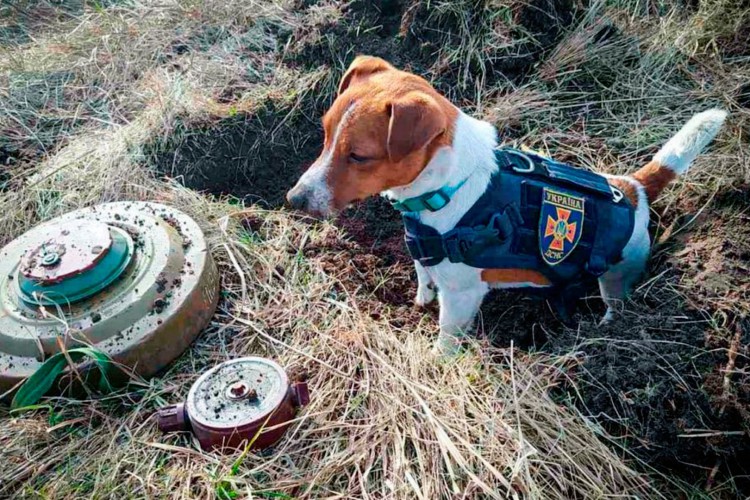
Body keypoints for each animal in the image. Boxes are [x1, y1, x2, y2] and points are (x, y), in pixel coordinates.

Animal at [286, 55, 728, 356]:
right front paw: (420, 300)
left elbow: (447, 336)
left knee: (616, 303)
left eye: (359, 156)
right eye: (324, 134)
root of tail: (633, 187)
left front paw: (435, 360)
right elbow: (423, 277)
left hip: (619, 275)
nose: (294, 199)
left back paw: (605, 328)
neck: (449, 186)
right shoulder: (424, 255)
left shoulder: (461, 295)